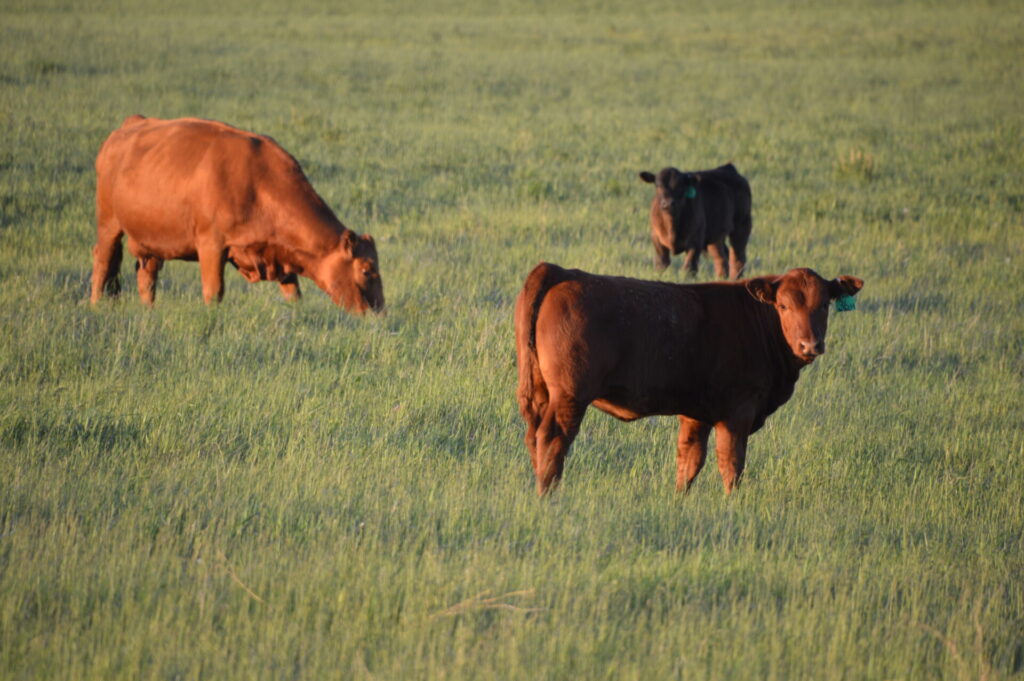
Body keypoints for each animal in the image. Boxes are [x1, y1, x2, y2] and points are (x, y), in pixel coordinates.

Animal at [90, 115, 384, 313]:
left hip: (149, 241)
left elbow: (293, 293)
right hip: (109, 223)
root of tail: (131, 125)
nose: (378, 312)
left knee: (146, 276)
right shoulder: (211, 245)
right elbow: (214, 291)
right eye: (367, 270)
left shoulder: (281, 254)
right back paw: (94, 304)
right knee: (103, 259)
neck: (258, 183)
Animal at [514, 262, 863, 495]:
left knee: (533, 437)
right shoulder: (737, 411)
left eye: (824, 304)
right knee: (553, 438)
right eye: (784, 305)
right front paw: (732, 503)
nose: (810, 345)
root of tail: (561, 271)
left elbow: (689, 459)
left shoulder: (696, 413)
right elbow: (731, 462)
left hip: (539, 392)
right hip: (570, 395)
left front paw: (679, 499)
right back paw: (548, 493)